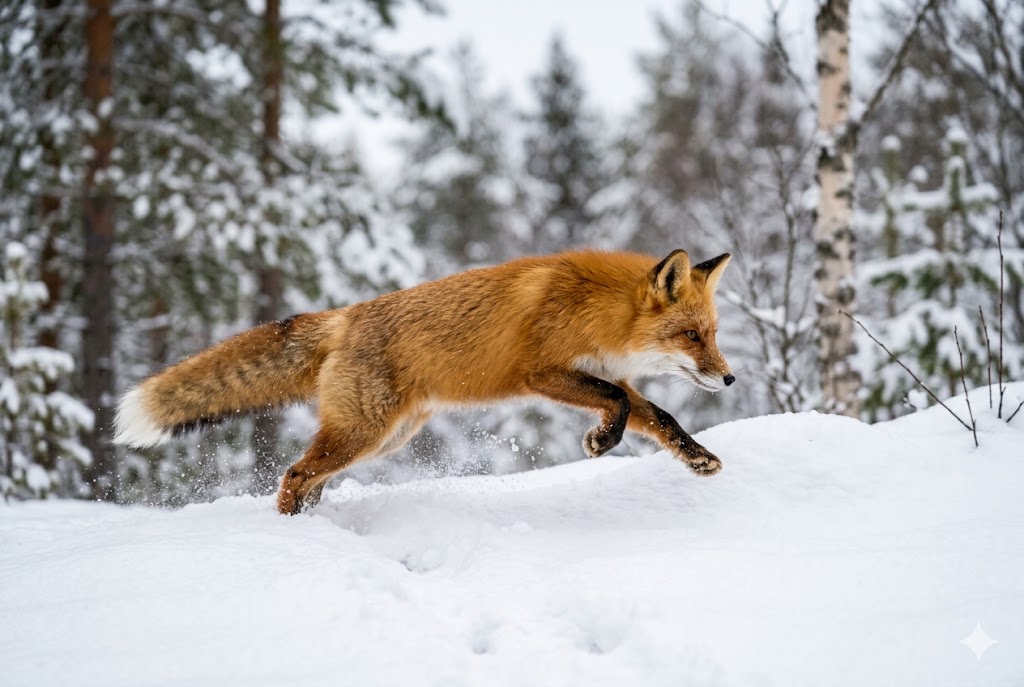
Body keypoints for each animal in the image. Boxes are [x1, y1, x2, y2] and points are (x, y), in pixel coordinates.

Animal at [114, 249, 735, 515]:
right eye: (691, 336)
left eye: (712, 332)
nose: (729, 378)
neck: (597, 309)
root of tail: (346, 316)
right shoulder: (542, 371)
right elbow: (617, 408)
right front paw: (600, 441)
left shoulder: (604, 375)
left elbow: (658, 416)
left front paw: (698, 457)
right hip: (363, 434)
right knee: (293, 475)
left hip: (386, 438)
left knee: (309, 478)